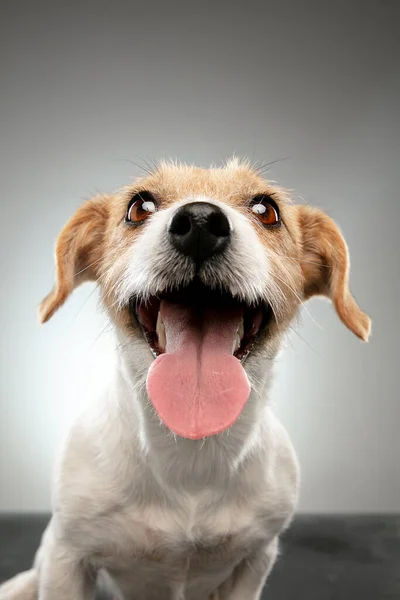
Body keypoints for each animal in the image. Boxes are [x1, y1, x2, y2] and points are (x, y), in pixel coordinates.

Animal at [0, 157, 370, 596]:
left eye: (267, 210)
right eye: (139, 207)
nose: (200, 221)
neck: (190, 454)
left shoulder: (254, 560)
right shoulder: (68, 555)